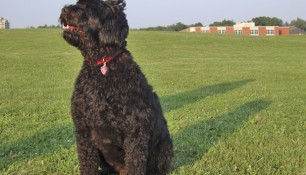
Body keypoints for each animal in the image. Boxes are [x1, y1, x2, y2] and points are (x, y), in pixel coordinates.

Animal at [59, 0, 172, 174]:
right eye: (78, 3)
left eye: (91, 8)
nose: (64, 9)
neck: (101, 64)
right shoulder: (83, 129)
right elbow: (87, 163)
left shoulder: (135, 131)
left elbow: (135, 164)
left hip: (164, 147)